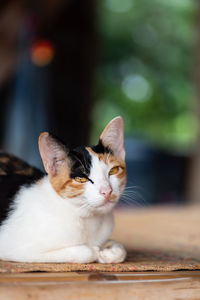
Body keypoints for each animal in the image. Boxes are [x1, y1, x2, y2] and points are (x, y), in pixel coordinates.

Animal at [0, 116, 126, 262]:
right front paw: (95, 251)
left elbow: (121, 249)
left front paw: (109, 252)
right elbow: (86, 251)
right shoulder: (16, 249)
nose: (107, 191)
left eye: (113, 170)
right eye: (81, 179)